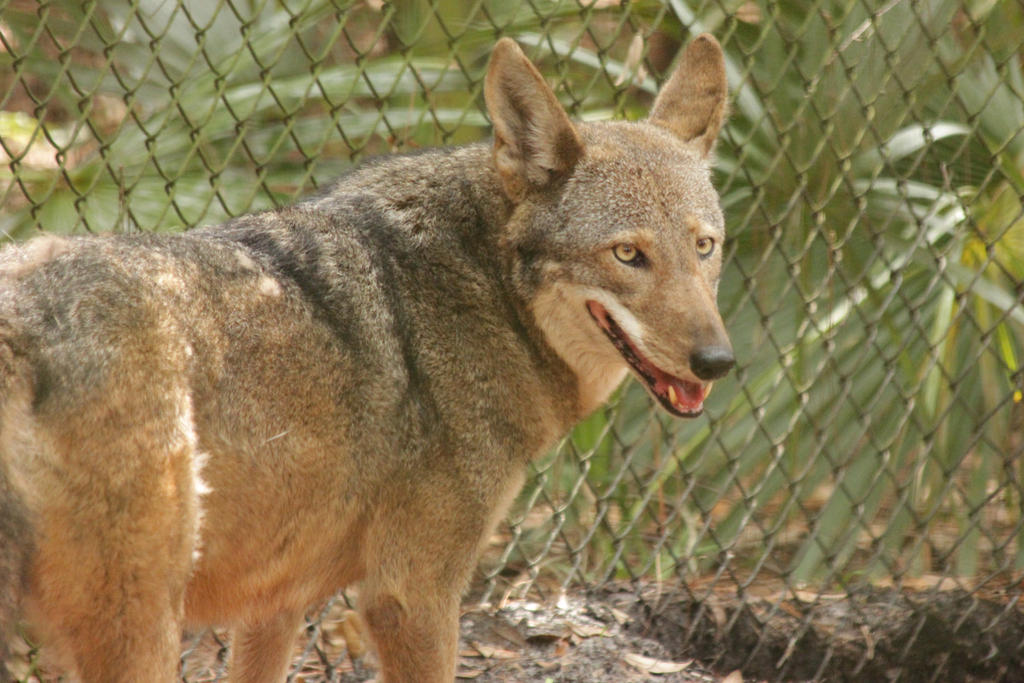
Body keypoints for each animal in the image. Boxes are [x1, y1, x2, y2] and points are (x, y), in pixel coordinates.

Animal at [2, 34, 737, 679]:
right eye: (628, 254)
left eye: (705, 246)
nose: (717, 361)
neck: (483, 286)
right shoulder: (413, 594)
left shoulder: (276, 603)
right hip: (145, 625)